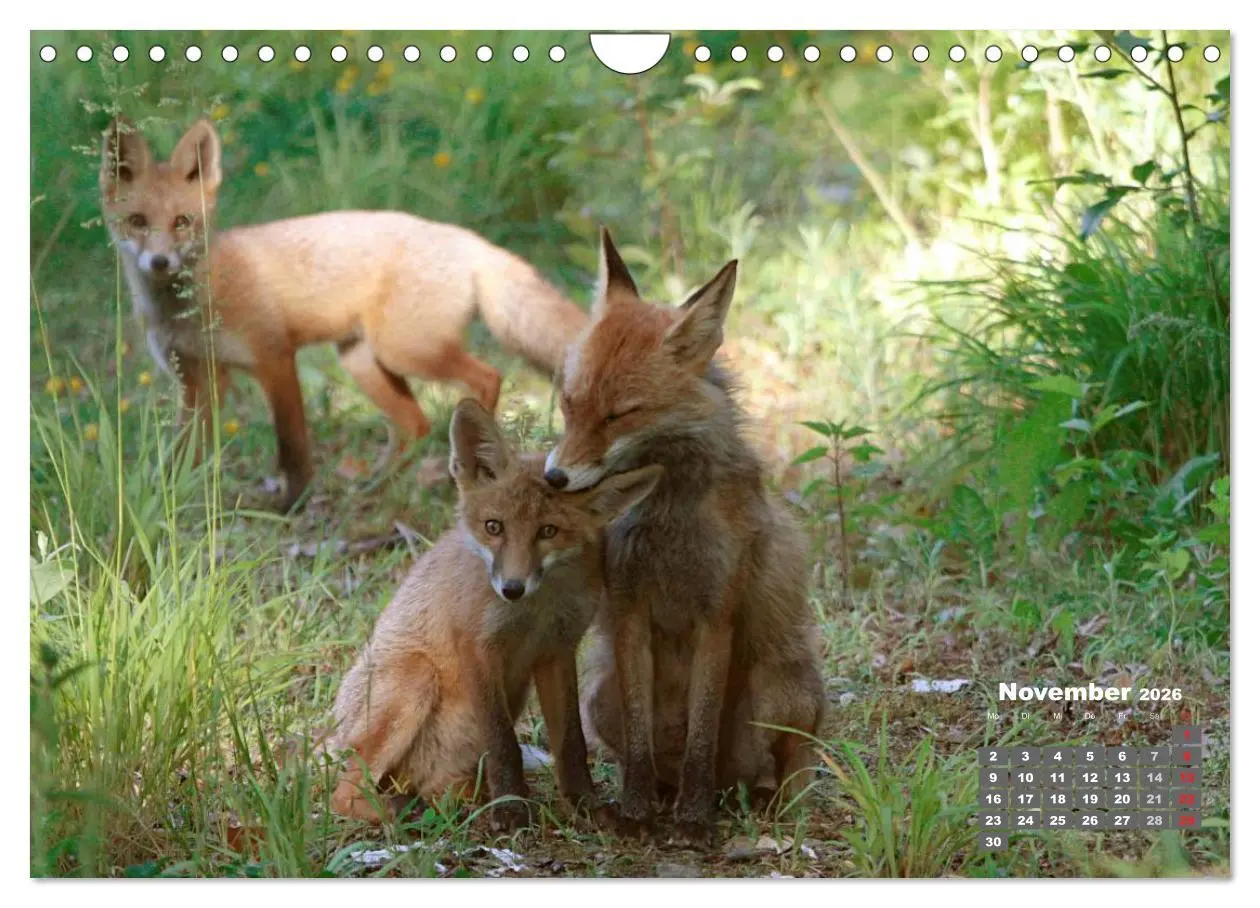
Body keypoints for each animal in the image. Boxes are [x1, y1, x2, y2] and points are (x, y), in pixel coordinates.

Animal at [99, 117, 587, 511]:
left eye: (182, 221)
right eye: (137, 221)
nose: (160, 262)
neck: (194, 305)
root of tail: (466, 238)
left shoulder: (274, 359)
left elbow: (293, 445)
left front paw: (293, 505)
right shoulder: (197, 381)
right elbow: (183, 453)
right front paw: (170, 500)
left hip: (408, 351)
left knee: (486, 378)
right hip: (363, 362)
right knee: (415, 424)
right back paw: (377, 488)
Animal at [329, 398, 662, 829]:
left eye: (548, 532)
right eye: (494, 527)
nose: (512, 588)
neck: (537, 610)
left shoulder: (557, 649)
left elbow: (571, 743)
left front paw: (584, 804)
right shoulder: (477, 646)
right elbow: (504, 742)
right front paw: (512, 810)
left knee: (438, 789)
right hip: (416, 678)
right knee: (343, 795)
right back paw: (404, 811)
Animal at [543, 229, 826, 842]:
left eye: (619, 415)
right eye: (570, 402)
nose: (554, 477)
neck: (667, 515)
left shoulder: (716, 615)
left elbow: (702, 732)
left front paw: (694, 822)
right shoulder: (630, 608)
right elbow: (641, 743)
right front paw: (636, 811)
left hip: (777, 689)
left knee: (787, 763)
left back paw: (764, 803)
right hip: (597, 698)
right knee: (661, 756)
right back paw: (667, 795)